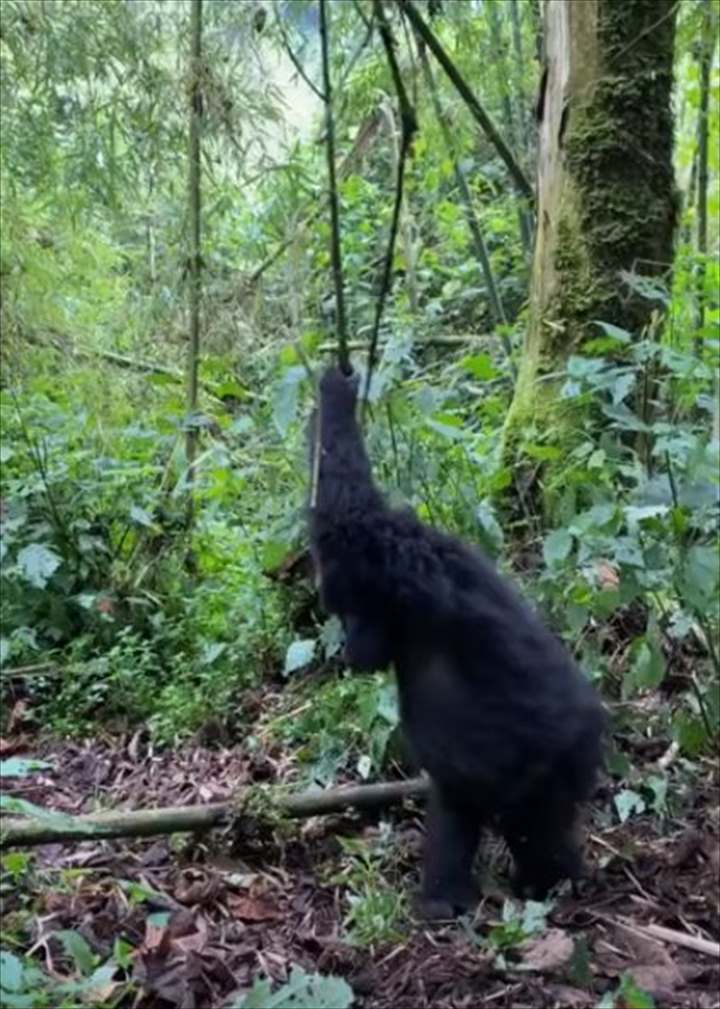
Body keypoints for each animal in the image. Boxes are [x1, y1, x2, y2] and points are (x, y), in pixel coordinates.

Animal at [306, 367, 601, 920]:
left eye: (349, 611)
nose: (350, 646)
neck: (399, 612)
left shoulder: (389, 551)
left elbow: (349, 512)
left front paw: (336, 392)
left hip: (559, 761)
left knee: (534, 825)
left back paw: (552, 882)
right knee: (461, 806)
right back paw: (451, 898)